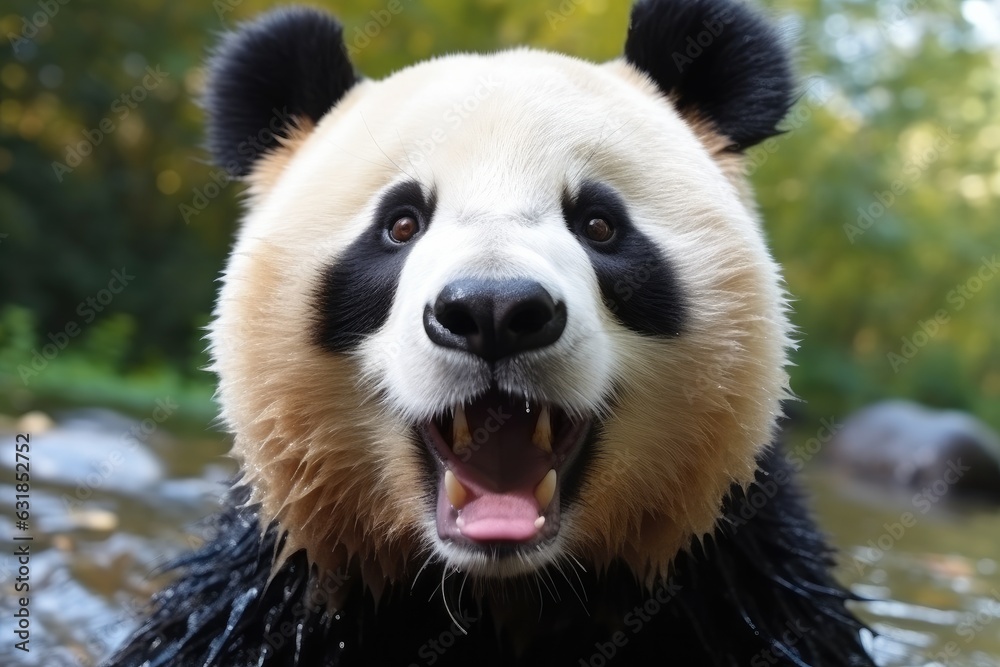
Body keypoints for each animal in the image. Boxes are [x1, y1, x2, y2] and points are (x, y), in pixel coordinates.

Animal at [107, 0, 876, 665]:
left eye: (599, 223)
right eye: (401, 223)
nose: (494, 311)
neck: (503, 587)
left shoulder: (734, 572)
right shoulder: (278, 587)